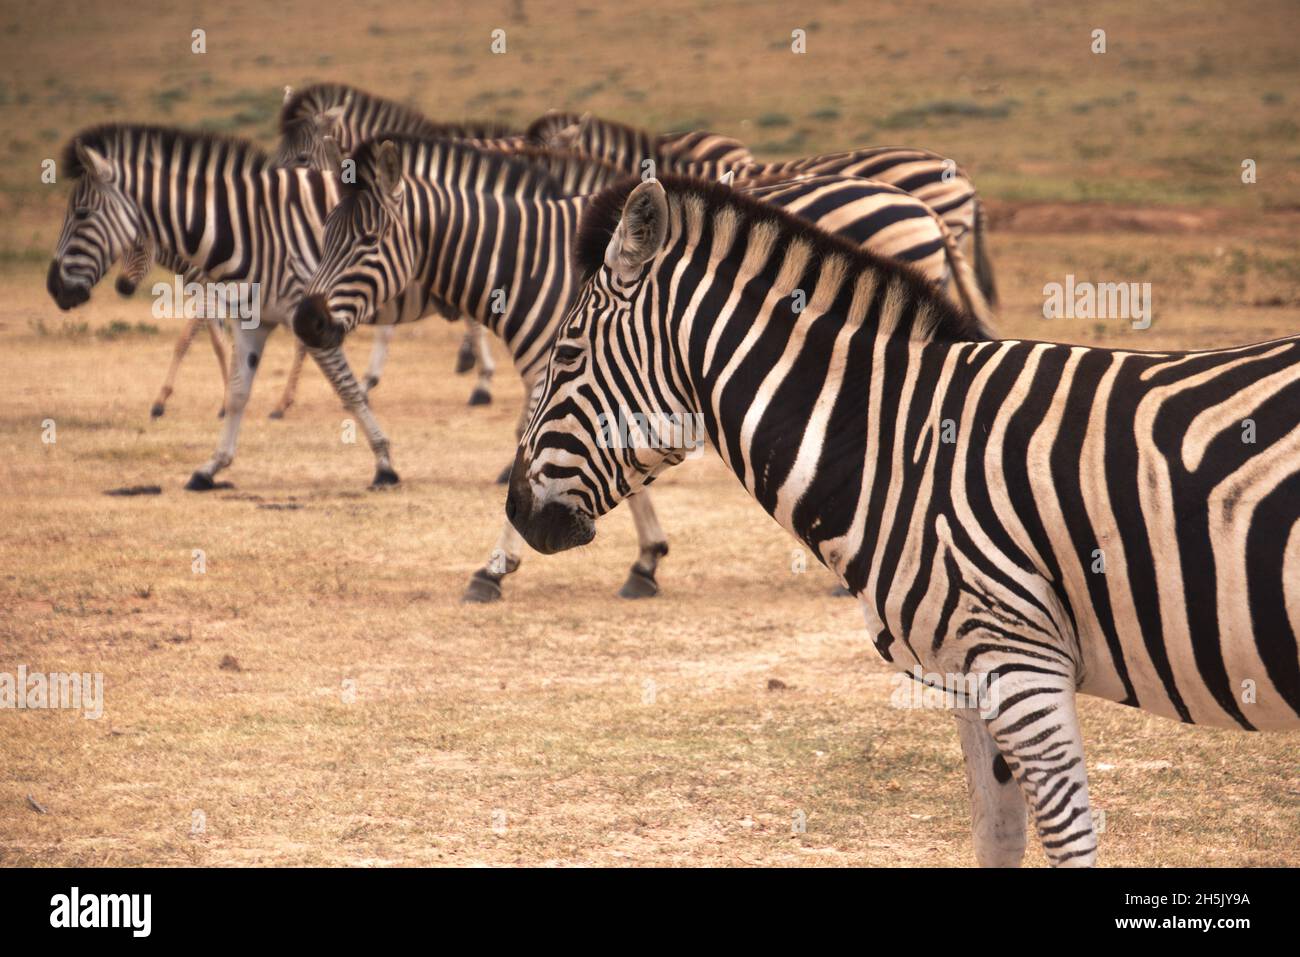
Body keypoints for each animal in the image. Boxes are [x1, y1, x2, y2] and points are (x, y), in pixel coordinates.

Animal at [46, 124, 406, 491]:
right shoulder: (232, 305)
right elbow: (223, 363)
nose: (54, 287)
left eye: (82, 215)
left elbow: (200, 342)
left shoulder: (218, 295)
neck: (240, 233)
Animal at [291, 137, 991, 603]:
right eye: (324, 234)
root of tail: (916, 204)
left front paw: (495, 567)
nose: (306, 323)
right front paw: (648, 559)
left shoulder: (566, 367)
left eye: (367, 242)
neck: (525, 262)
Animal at [507, 175, 1300, 866]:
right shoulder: (974, 674)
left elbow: (1069, 840)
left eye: (567, 353)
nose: (515, 509)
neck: (898, 440)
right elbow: (996, 838)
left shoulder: (1021, 658)